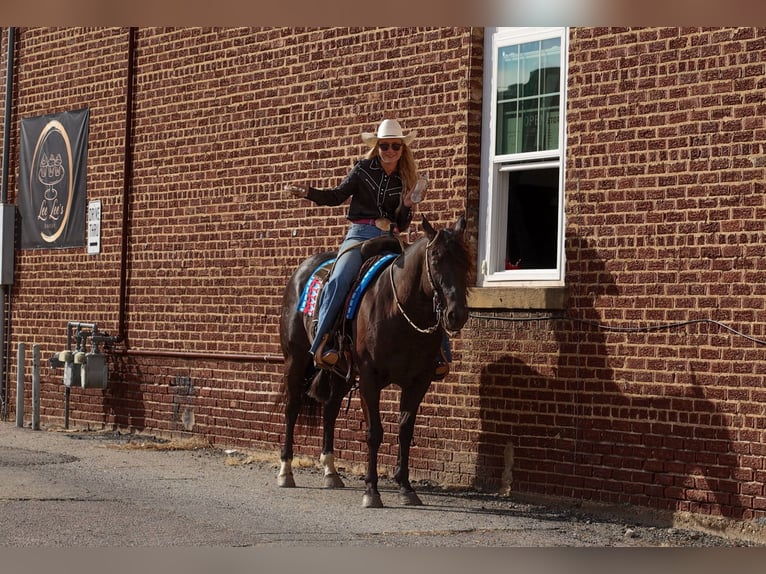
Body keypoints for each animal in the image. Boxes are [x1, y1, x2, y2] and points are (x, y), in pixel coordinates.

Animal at [277, 214, 471, 507]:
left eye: (465, 258)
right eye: (436, 257)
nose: (456, 314)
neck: (399, 310)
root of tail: (301, 270)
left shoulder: (419, 381)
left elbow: (405, 430)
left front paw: (405, 487)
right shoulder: (370, 378)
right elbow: (374, 432)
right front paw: (371, 490)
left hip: (341, 372)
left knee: (330, 409)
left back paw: (330, 472)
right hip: (295, 361)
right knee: (292, 408)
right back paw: (285, 471)